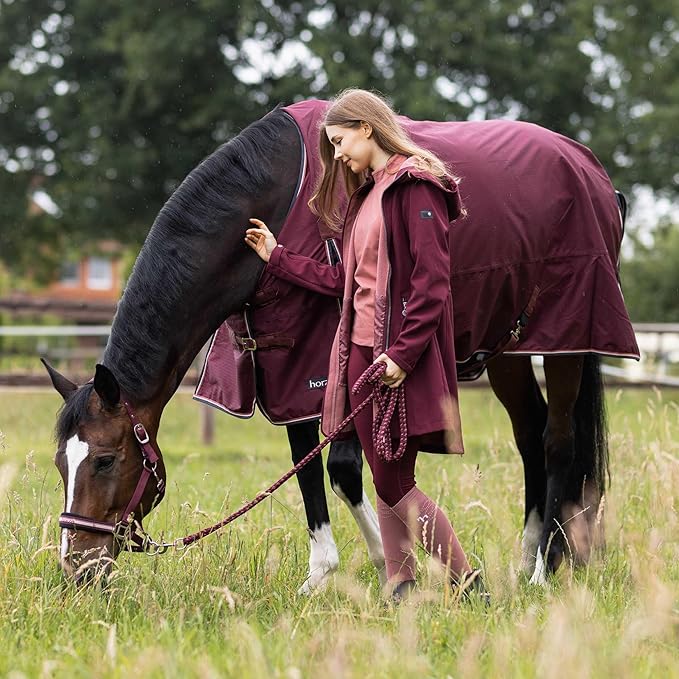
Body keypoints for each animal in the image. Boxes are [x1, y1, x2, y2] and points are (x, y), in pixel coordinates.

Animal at [45, 99, 639, 588]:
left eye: (104, 460)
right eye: (60, 463)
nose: (78, 569)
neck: (279, 199)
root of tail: (593, 174)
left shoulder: (330, 370)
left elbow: (345, 469)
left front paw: (389, 569)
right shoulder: (285, 370)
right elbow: (308, 469)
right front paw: (324, 576)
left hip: (568, 344)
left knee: (557, 440)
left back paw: (542, 571)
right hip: (508, 351)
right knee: (529, 435)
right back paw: (527, 558)